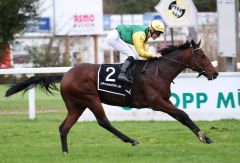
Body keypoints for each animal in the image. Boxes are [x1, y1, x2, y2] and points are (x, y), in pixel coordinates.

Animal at [5, 39, 219, 153]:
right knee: (104, 122)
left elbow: (182, 116)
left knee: (64, 127)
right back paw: (132, 140)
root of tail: (65, 74)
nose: (215, 73)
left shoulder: (164, 101)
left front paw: (205, 137)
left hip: (76, 105)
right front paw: (204, 136)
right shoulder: (157, 102)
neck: (160, 71)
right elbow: (183, 114)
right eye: (202, 55)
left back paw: (65, 152)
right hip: (90, 98)